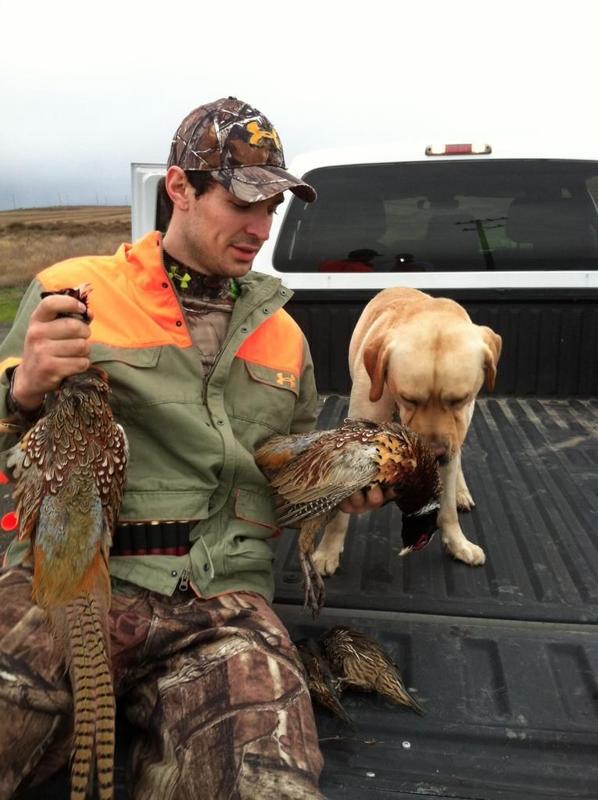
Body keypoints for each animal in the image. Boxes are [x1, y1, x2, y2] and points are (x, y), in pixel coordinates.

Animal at [314, 288, 506, 576]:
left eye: (459, 399)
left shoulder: (453, 440)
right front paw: (327, 551)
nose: (435, 453)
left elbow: (447, 508)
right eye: (409, 398)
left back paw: (461, 492)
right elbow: (339, 513)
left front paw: (457, 543)